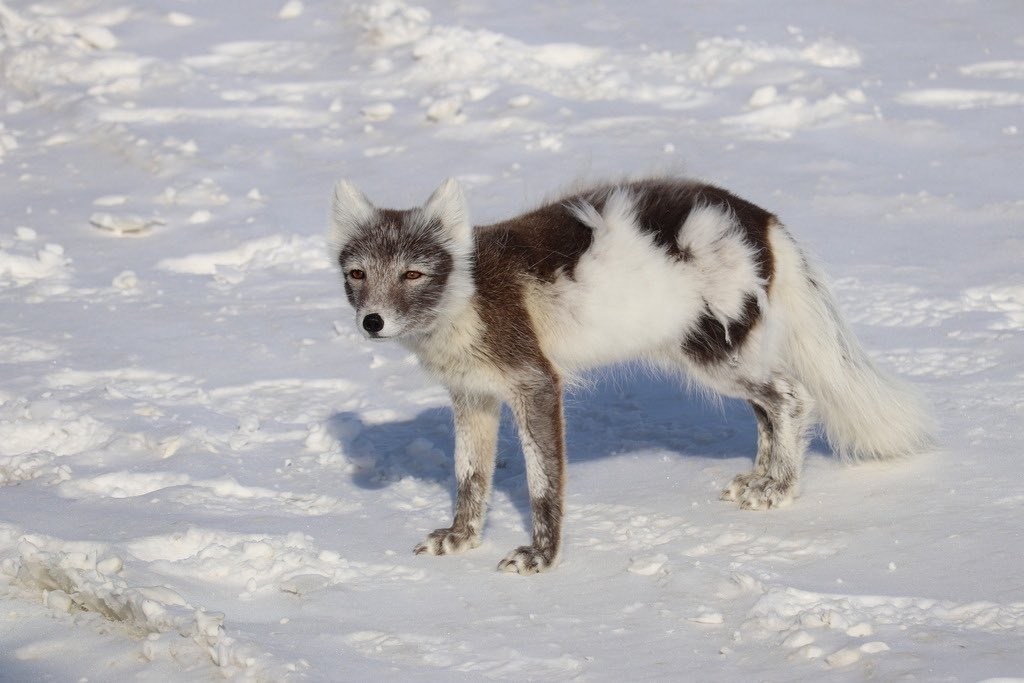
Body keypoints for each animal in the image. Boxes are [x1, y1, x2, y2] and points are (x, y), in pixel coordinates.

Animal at [328, 176, 933, 575]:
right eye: (356, 274)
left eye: (413, 273)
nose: (372, 321)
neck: (466, 297)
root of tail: (763, 217)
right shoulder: (472, 396)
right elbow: (470, 479)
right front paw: (460, 539)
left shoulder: (535, 382)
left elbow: (543, 485)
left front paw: (541, 557)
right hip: (719, 356)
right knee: (770, 409)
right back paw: (760, 480)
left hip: (713, 357)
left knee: (792, 397)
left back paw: (780, 489)